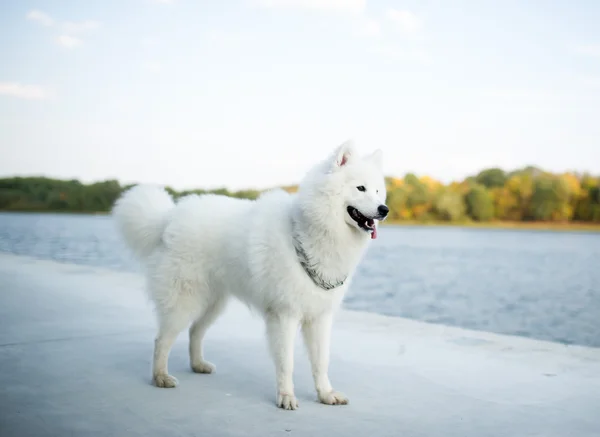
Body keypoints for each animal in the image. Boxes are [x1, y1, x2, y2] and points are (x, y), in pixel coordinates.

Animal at [112, 141, 390, 408]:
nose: (384, 209)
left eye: (378, 191)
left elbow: (321, 361)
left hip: (212, 303)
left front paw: (326, 395)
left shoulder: (319, 317)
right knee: (161, 340)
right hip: (184, 301)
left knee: (194, 331)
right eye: (361, 188)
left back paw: (198, 365)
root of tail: (168, 218)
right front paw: (286, 397)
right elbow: (287, 362)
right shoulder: (284, 315)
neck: (308, 232)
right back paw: (160, 377)